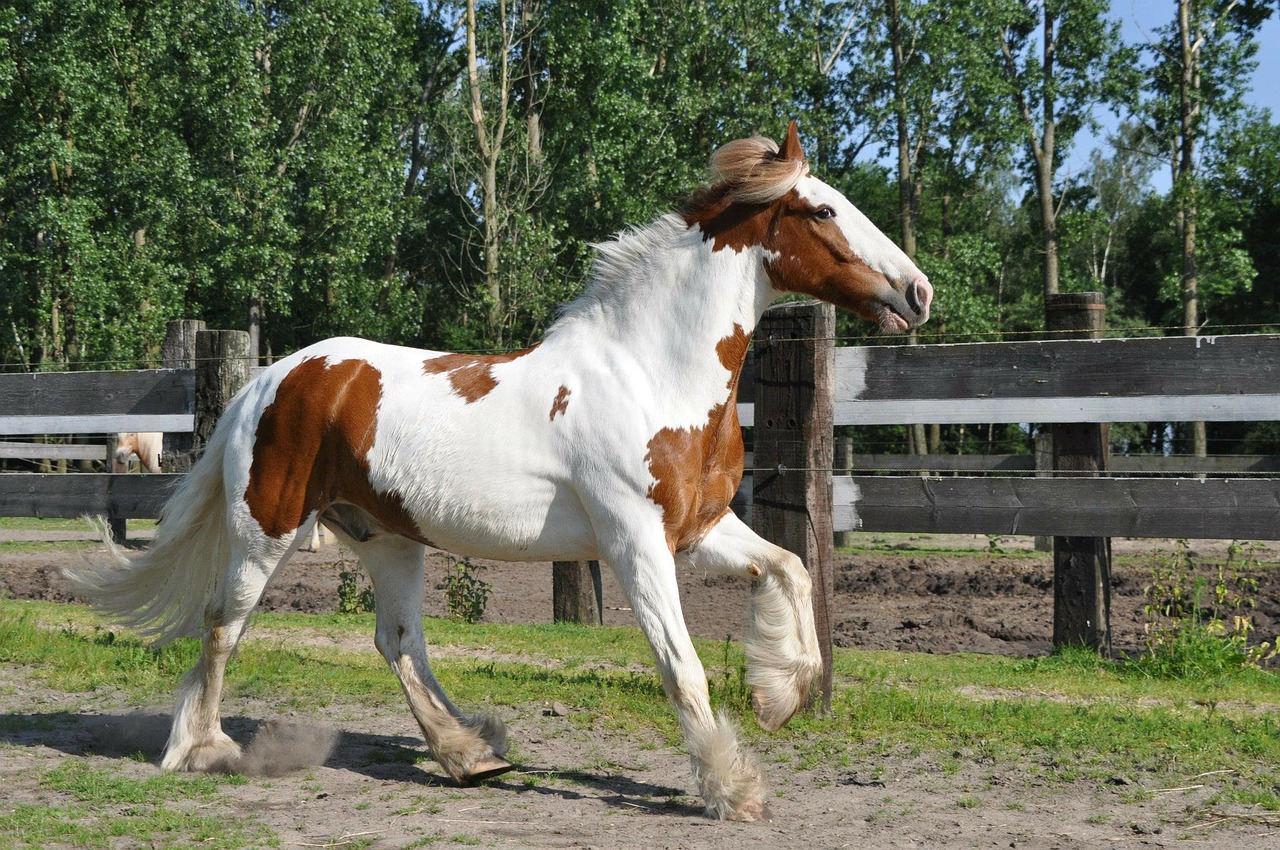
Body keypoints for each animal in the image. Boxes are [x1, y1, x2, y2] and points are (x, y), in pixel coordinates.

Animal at [64, 122, 931, 819]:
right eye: (823, 211)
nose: (917, 292)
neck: (649, 372)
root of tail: (270, 379)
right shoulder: (634, 542)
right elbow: (681, 665)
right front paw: (731, 788)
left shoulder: (699, 529)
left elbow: (791, 568)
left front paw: (780, 695)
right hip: (267, 528)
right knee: (224, 625)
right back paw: (202, 749)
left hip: (386, 537)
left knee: (397, 640)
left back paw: (470, 752)